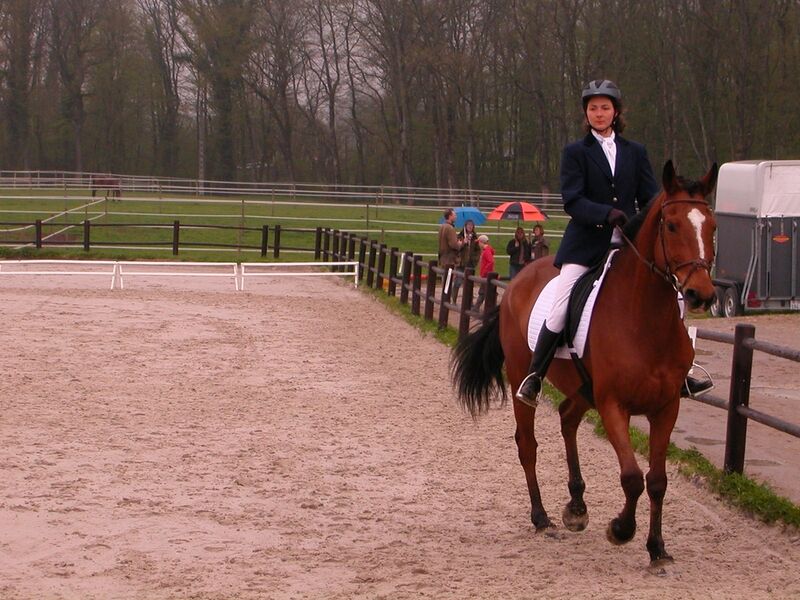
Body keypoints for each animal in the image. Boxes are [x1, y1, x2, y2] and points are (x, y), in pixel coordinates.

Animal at [451, 160, 718, 565]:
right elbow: (631, 477)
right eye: (671, 225)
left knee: (567, 418)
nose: (701, 294)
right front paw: (621, 529)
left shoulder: (667, 407)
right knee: (527, 443)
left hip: (582, 388)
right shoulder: (613, 405)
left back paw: (576, 505)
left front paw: (657, 548)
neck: (647, 319)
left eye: (712, 226)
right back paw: (541, 516)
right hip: (522, 376)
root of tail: (517, 280)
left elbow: (657, 480)